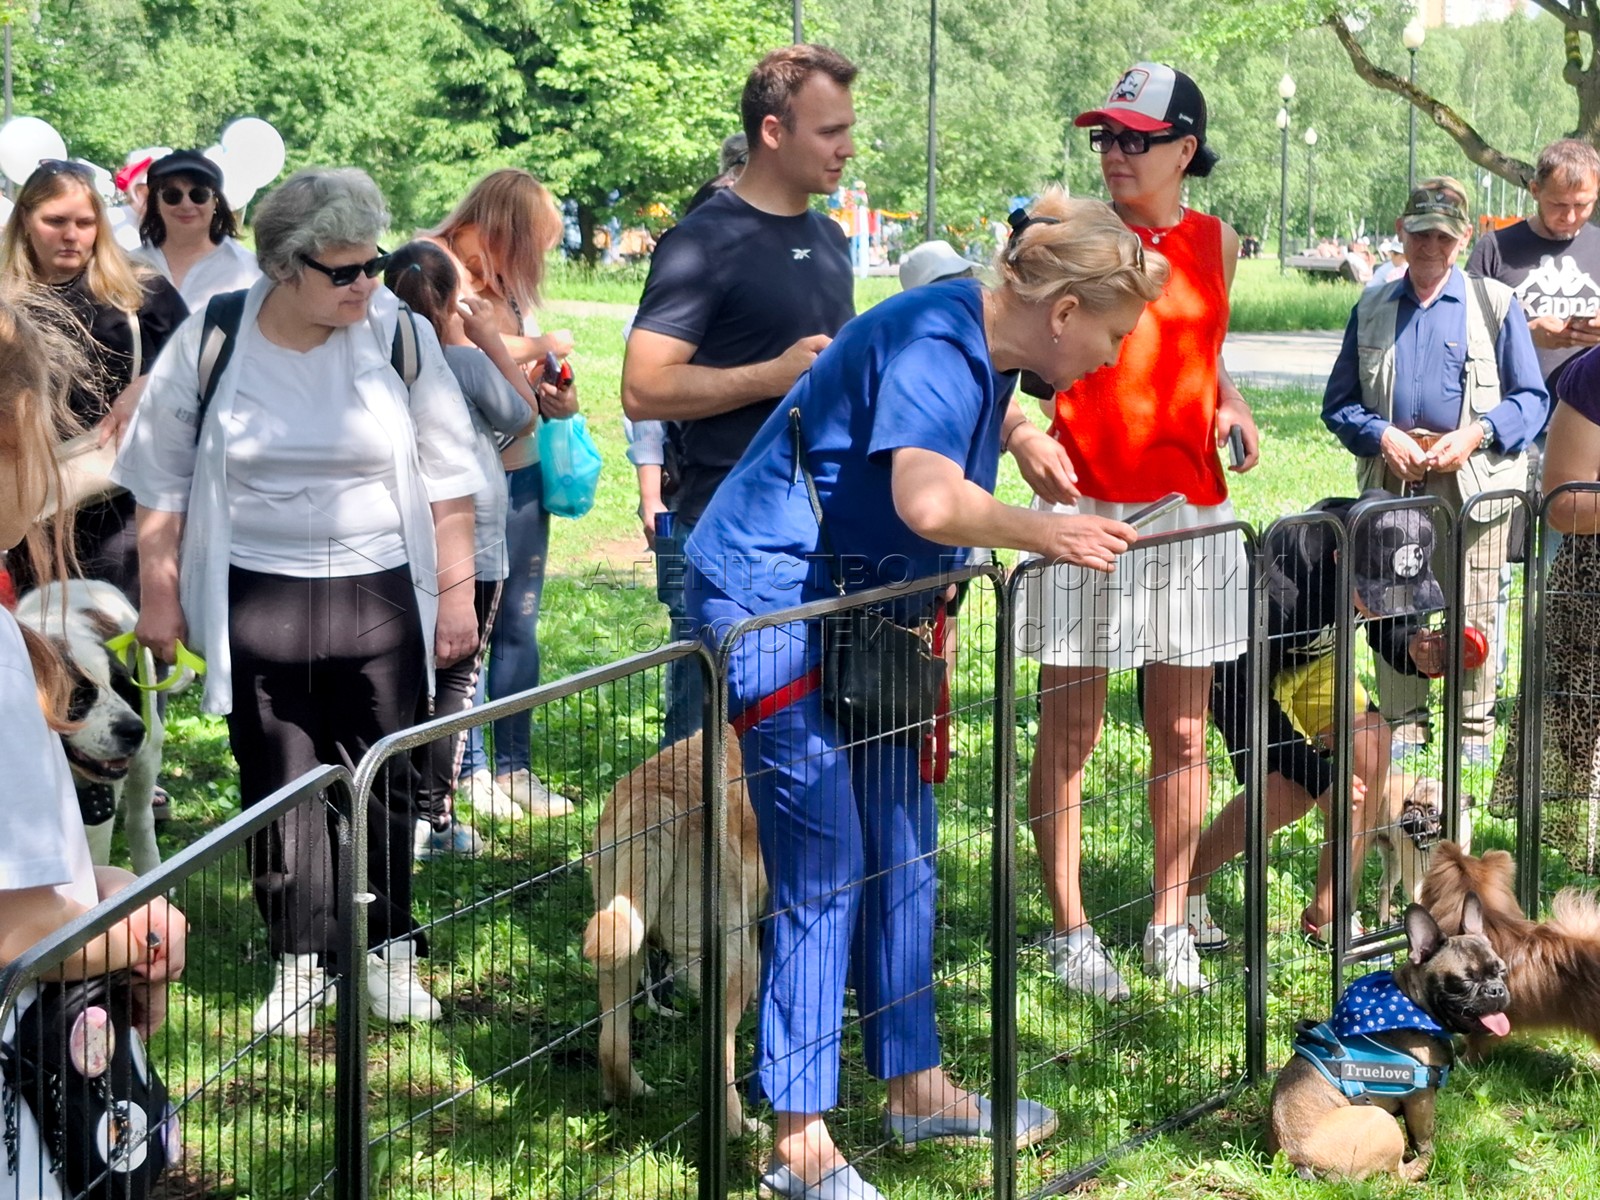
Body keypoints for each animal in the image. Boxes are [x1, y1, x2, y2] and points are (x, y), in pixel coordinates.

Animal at [582, 732, 768, 1139]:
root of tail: (657, 799)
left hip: (621, 950)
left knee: (612, 1044)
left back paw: (633, 1093)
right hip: (725, 964)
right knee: (722, 1061)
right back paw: (741, 1128)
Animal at [1267, 908, 1504, 1177]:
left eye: (1502, 971)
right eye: (1465, 982)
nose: (1497, 989)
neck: (1414, 1007)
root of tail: (1298, 1162)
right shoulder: (1421, 1099)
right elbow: (1423, 1136)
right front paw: (1428, 1152)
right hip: (1383, 1121)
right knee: (1397, 1175)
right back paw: (1422, 1164)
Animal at [1376, 774, 1472, 928]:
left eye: (1432, 813)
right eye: (1407, 803)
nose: (1413, 812)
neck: (1433, 843)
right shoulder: (1415, 878)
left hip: (1394, 863)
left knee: (1385, 886)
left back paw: (1385, 918)